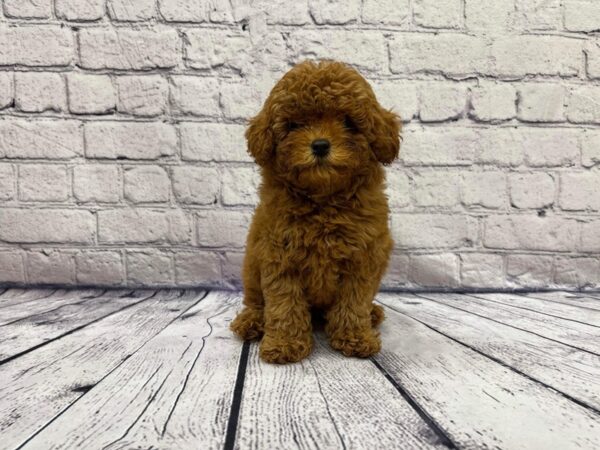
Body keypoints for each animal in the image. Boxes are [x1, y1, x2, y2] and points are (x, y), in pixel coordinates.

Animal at [232, 59, 400, 364]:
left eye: (348, 122)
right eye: (295, 124)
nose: (320, 145)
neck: (324, 200)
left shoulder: (363, 258)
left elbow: (353, 301)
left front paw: (355, 337)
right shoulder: (279, 256)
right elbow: (284, 304)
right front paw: (285, 344)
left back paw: (372, 314)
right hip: (251, 269)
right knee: (256, 301)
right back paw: (252, 322)